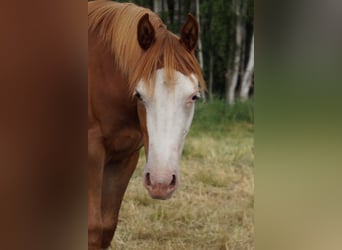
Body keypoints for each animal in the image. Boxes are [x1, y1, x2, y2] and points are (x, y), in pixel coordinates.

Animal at [88, 0, 206, 249]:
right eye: (139, 95)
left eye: (194, 96)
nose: (161, 182)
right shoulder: (92, 154)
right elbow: (92, 228)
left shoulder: (124, 157)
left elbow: (107, 226)